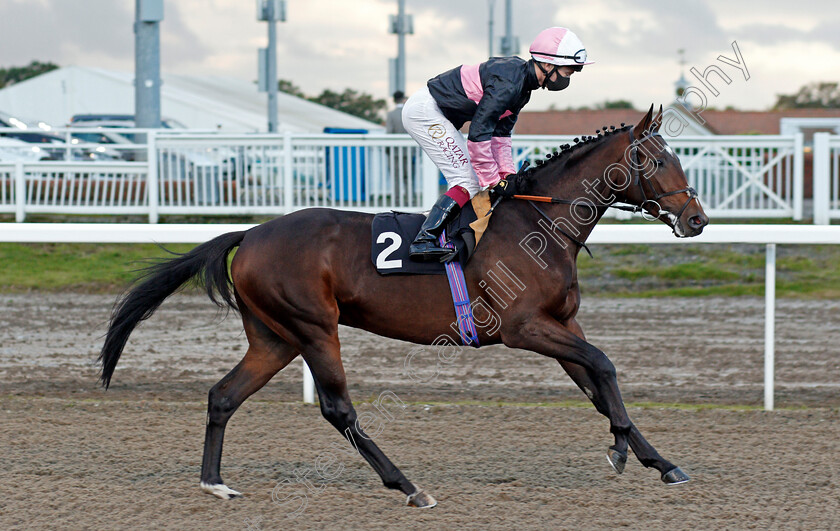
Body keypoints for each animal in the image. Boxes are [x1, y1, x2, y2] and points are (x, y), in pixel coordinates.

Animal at [98, 106, 708, 510]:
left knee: (223, 396)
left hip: (274, 337)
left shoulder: (560, 324)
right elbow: (604, 365)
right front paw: (623, 450)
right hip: (313, 327)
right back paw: (408, 486)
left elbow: (597, 384)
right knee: (337, 409)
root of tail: (250, 233)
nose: (697, 219)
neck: (539, 224)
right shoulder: (524, 328)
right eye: (657, 160)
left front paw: (658, 461)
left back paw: (215, 482)